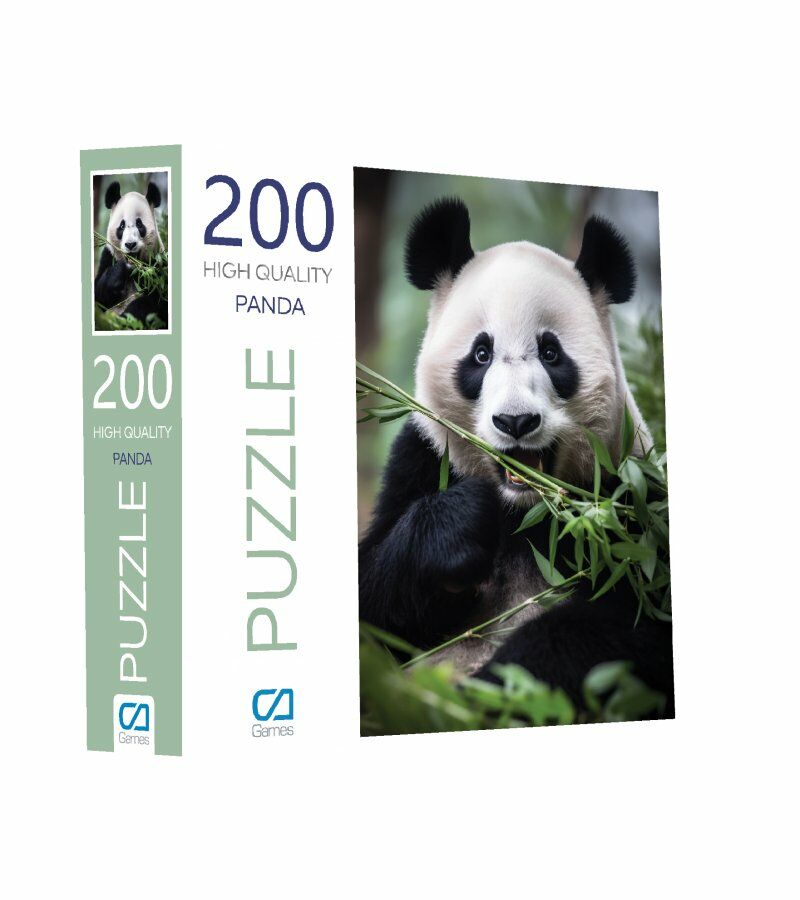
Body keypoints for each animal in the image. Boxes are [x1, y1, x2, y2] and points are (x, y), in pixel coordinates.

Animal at [94, 181, 167, 325]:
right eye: (122, 226)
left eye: (139, 224)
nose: (130, 244)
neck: (133, 269)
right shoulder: (108, 256)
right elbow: (98, 298)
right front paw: (117, 274)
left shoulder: (158, 265)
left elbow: (157, 301)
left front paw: (127, 319)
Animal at [358, 198, 674, 715]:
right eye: (481, 354)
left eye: (551, 353)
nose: (516, 422)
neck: (524, 512)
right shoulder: (419, 460)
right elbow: (373, 603)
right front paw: (459, 529)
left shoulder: (630, 498)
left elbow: (631, 621)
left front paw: (497, 690)